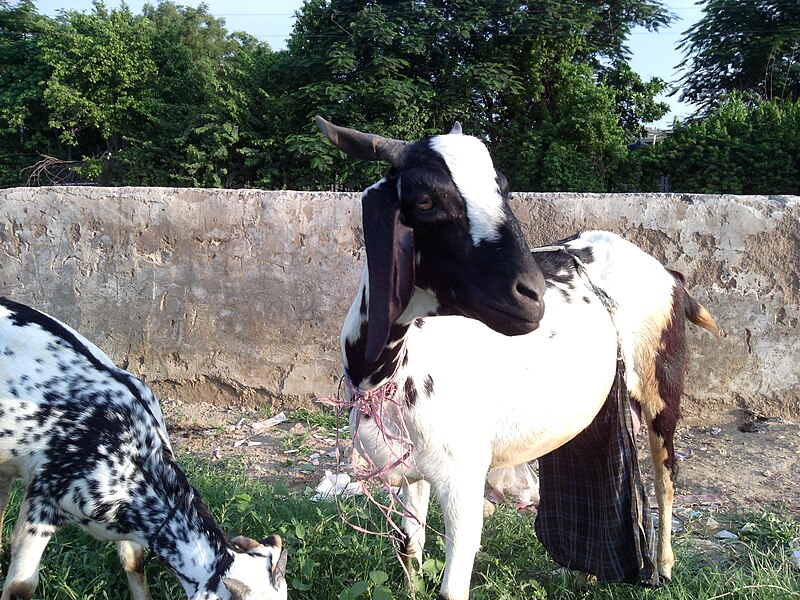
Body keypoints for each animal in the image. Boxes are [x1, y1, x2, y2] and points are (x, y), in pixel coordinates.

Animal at [316, 117, 716, 600]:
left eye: (503, 188)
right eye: (425, 200)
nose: (532, 295)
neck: (394, 371)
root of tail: (669, 274)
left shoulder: (463, 478)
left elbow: (452, 584)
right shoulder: (412, 472)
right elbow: (409, 547)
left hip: (660, 383)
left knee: (666, 473)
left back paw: (662, 568)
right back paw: (586, 573)